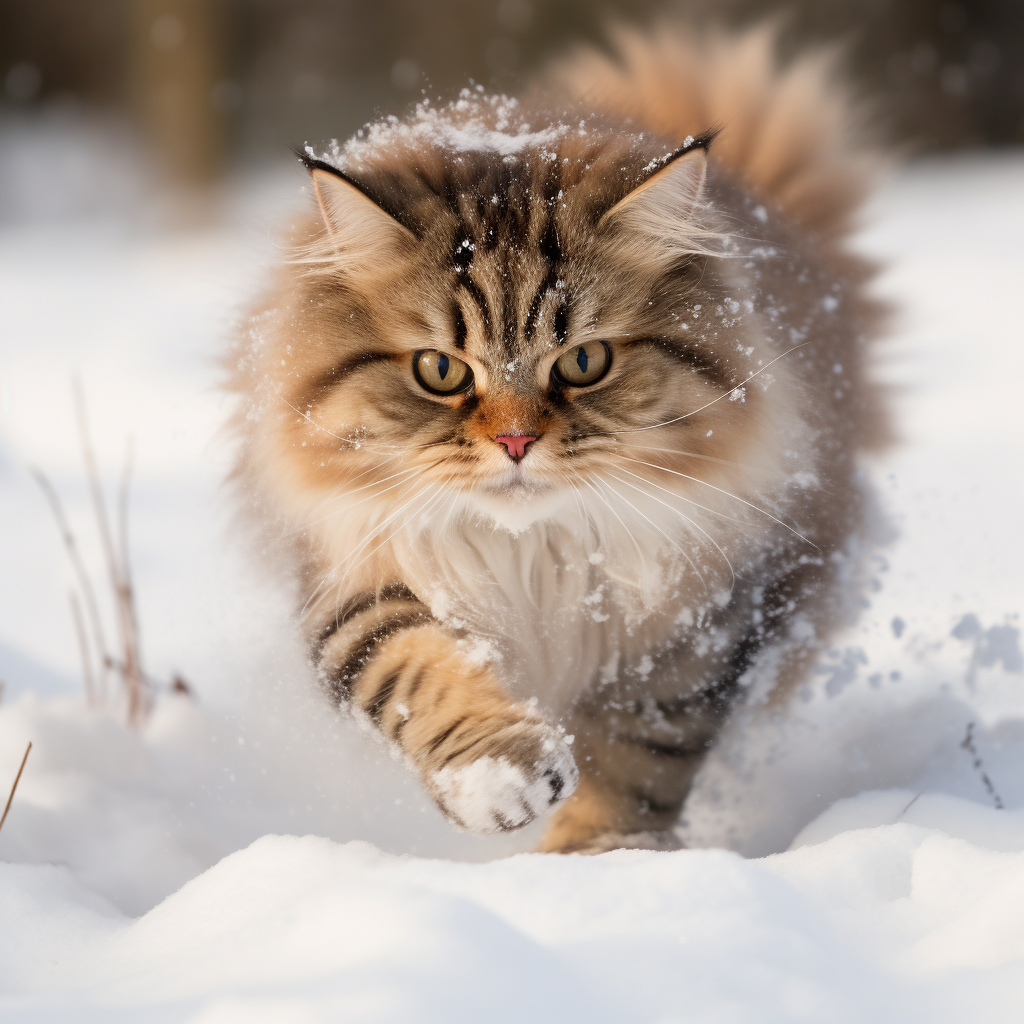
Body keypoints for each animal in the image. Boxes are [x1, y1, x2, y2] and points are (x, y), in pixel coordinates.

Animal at [228, 25, 884, 856]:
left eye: (583, 362)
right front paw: (501, 778)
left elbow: (641, 761)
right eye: (440, 369)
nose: (515, 441)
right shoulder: (355, 575)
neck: (531, 553)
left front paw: (593, 858)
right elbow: (417, 672)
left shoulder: (696, 618)